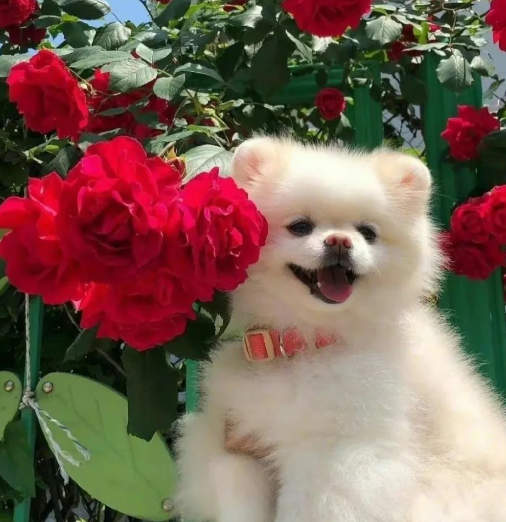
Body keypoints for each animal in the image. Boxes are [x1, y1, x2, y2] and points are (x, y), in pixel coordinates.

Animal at [175, 137, 506, 522]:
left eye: (368, 233)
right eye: (300, 226)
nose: (340, 241)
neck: (303, 342)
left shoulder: (339, 454)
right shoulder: (237, 448)